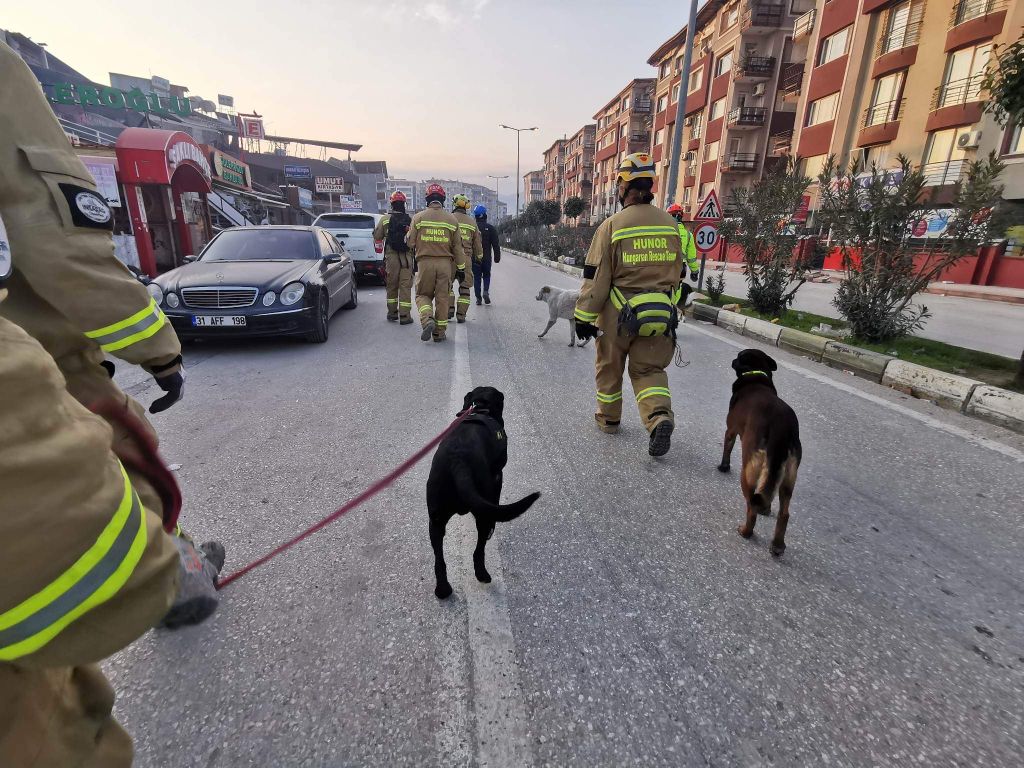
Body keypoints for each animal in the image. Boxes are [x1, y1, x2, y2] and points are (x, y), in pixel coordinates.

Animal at [425, 387, 540, 598]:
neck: (480, 408)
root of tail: (458, 461)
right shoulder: (498, 476)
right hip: (482, 509)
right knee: (479, 549)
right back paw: (482, 573)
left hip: (435, 519)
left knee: (439, 559)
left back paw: (443, 589)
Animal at [720, 350, 798, 561]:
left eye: (740, 356)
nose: (733, 359)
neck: (756, 374)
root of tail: (781, 429)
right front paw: (767, 509)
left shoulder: (731, 430)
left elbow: (727, 448)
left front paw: (723, 467)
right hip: (789, 476)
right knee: (784, 513)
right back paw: (777, 546)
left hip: (749, 469)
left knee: (751, 506)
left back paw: (746, 531)